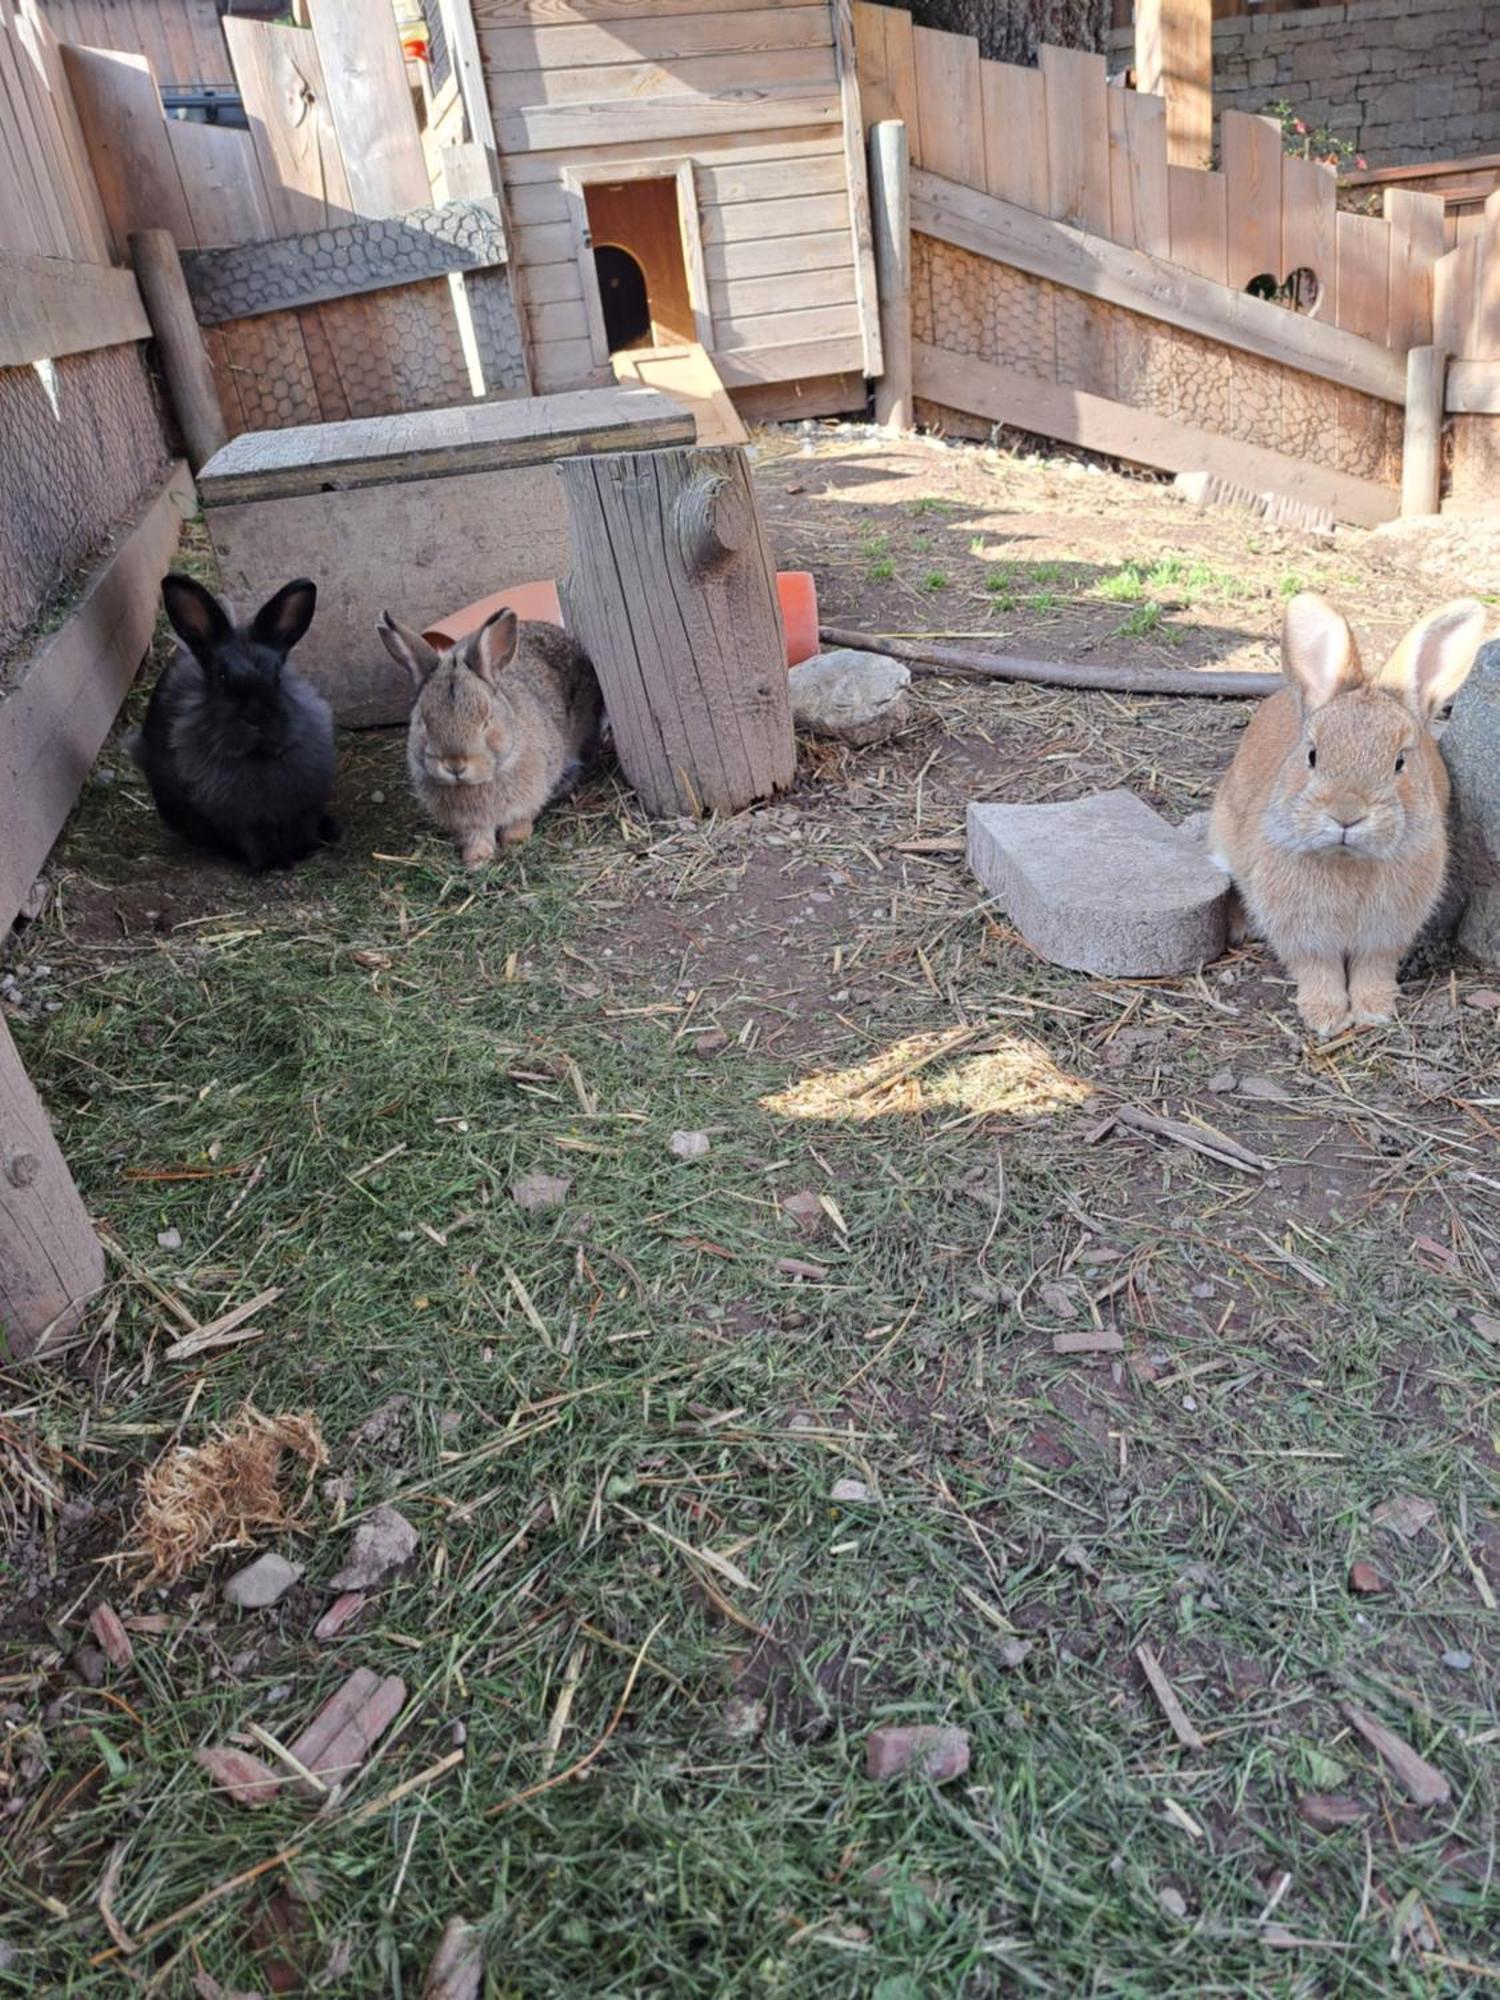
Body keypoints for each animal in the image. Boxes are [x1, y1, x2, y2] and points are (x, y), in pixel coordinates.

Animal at [132, 572, 340, 868]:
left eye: (278, 676)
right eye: (221, 678)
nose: (257, 718)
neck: (257, 757)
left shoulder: (302, 808)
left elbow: (303, 828)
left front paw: (304, 851)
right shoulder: (244, 822)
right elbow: (258, 842)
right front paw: (274, 864)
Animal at [376, 604, 604, 864]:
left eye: (486, 720)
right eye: (423, 720)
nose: (455, 765)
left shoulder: (532, 794)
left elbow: (521, 819)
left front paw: (515, 841)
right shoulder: (470, 824)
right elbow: (477, 836)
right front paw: (476, 859)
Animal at [1208, 588, 1496, 1040]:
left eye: (1400, 762)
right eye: (1312, 754)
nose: (1346, 815)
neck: (1348, 862)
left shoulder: (1386, 934)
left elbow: (1372, 969)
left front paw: (1375, 1010)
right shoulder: (1303, 935)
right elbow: (1318, 970)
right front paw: (1325, 1016)